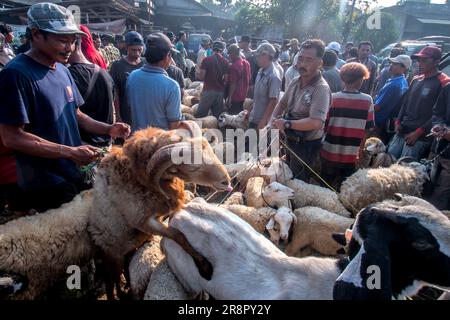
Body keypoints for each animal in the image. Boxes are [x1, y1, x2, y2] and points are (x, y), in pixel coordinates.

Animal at [0, 122, 232, 300]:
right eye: (192, 167)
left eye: (209, 149)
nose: (227, 182)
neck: (137, 180)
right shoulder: (142, 221)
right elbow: (177, 235)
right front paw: (202, 262)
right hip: (111, 254)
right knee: (111, 282)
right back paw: (118, 293)